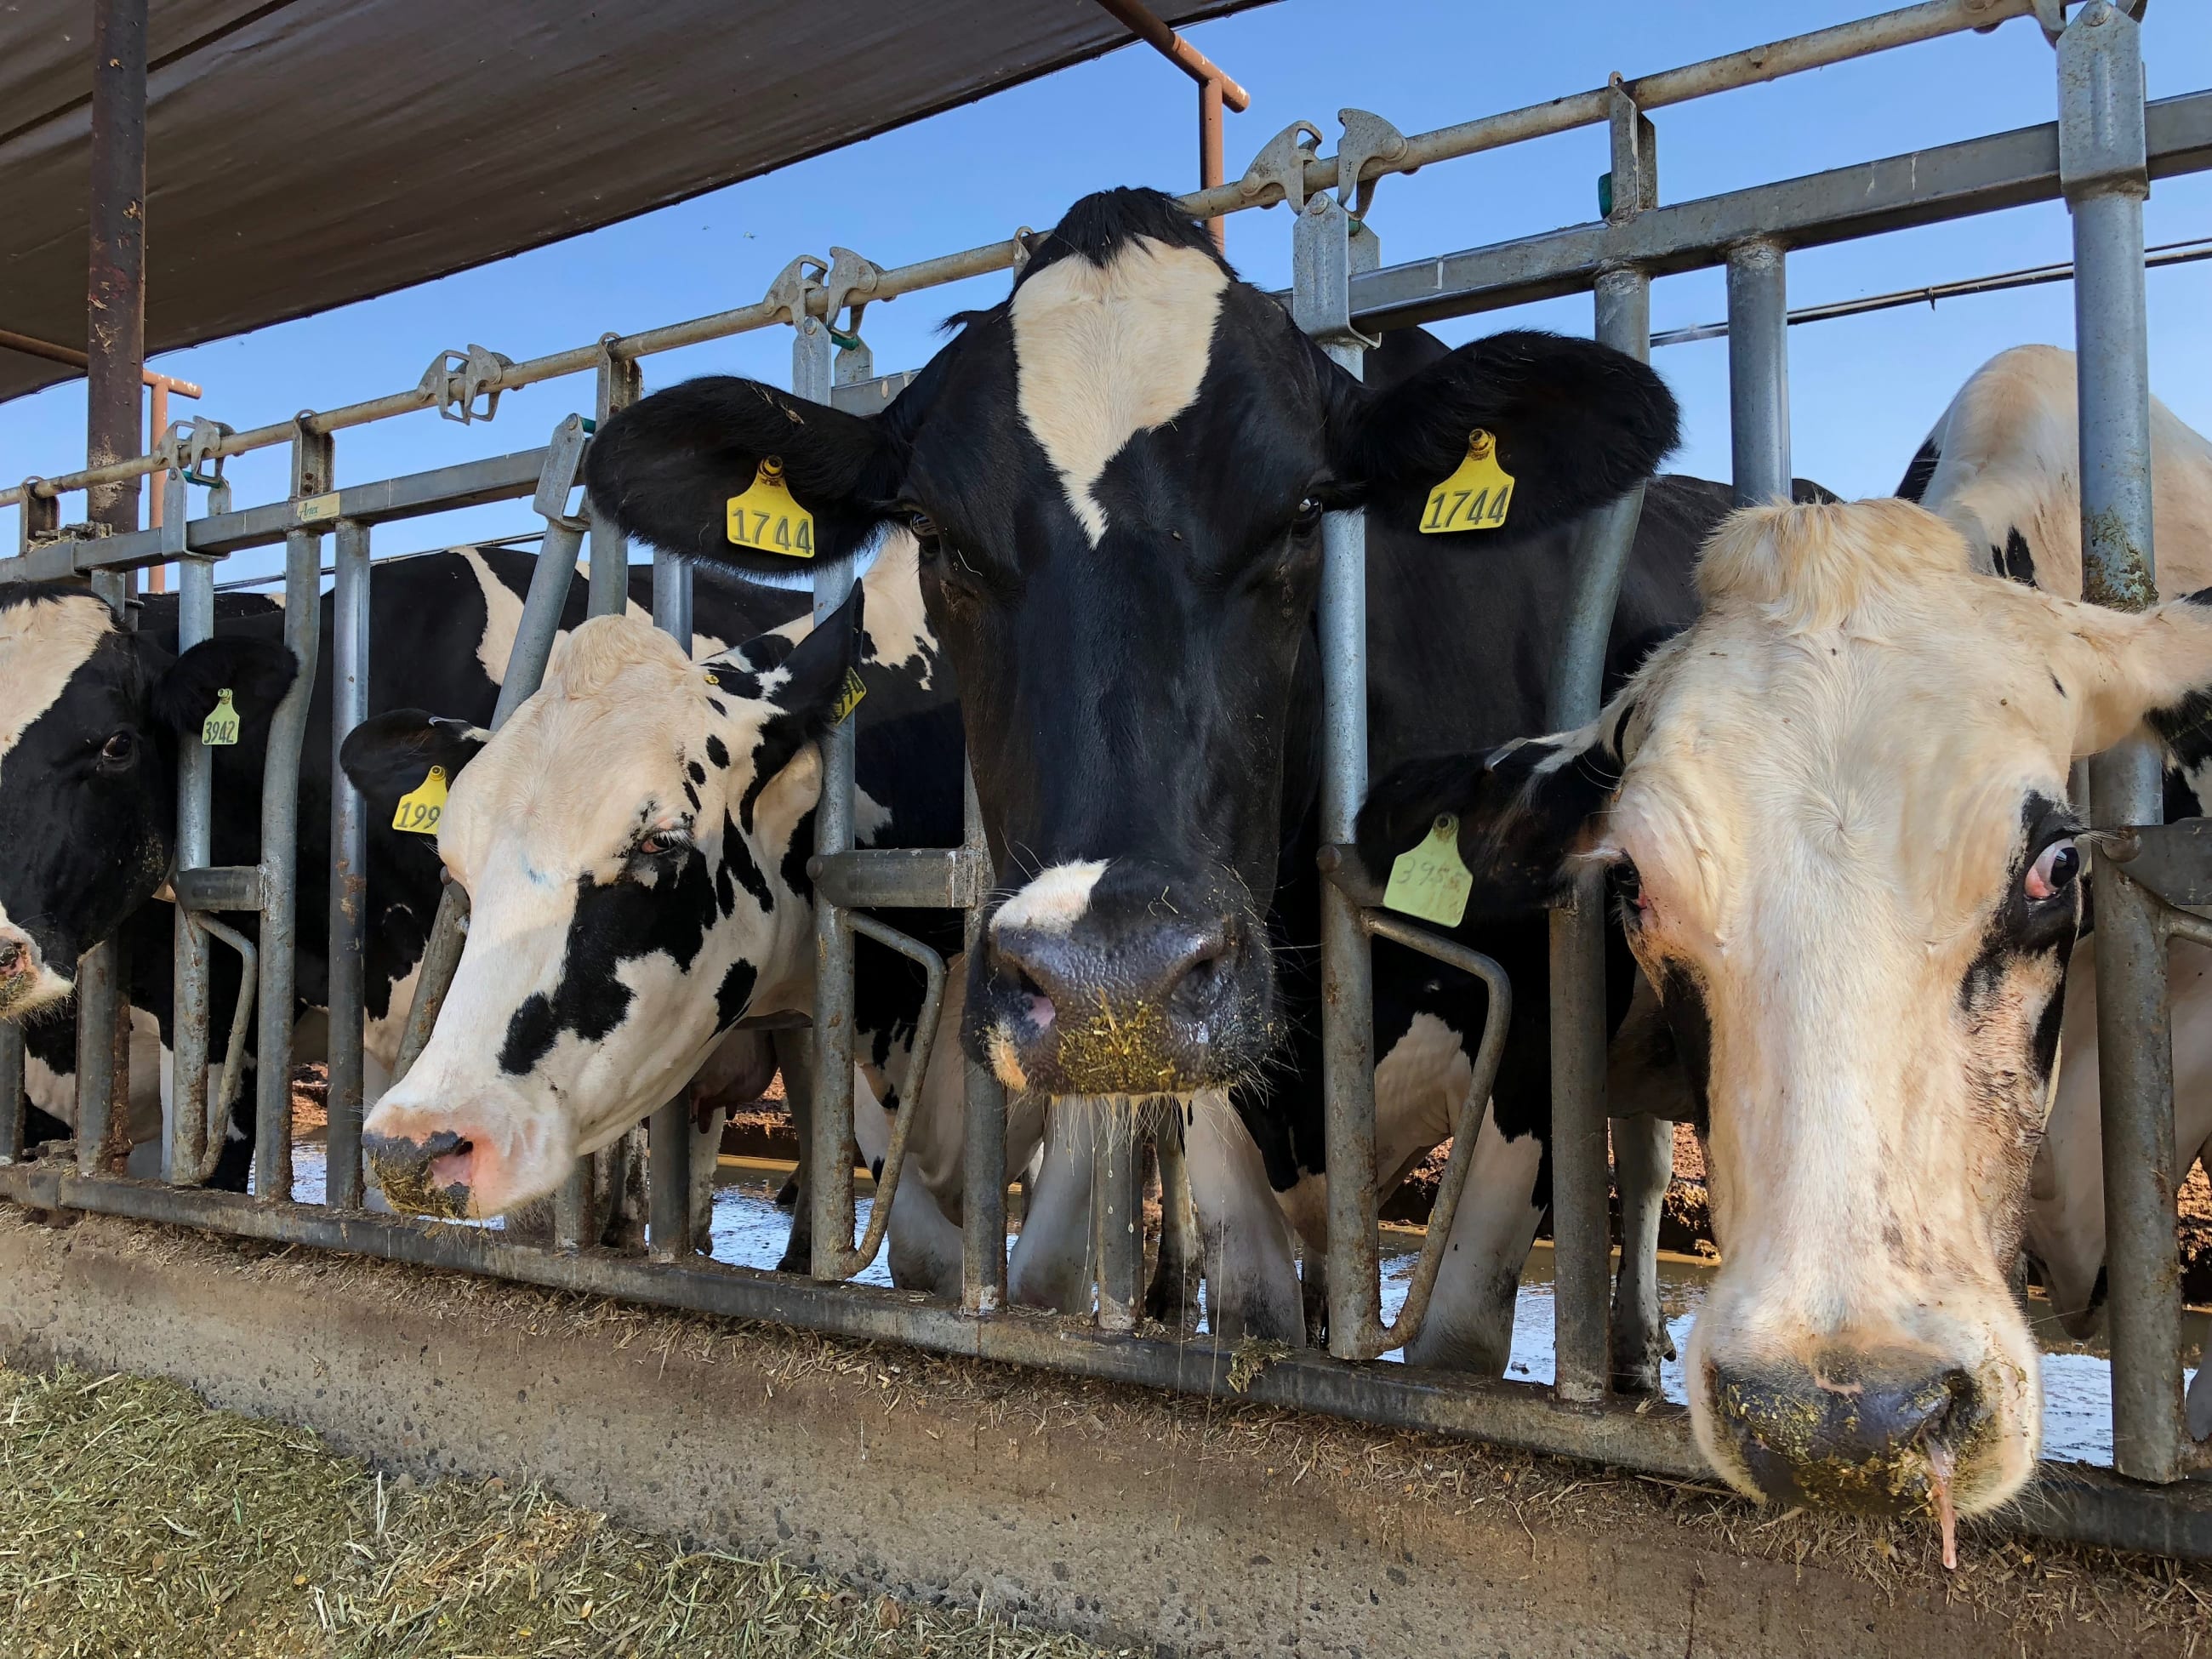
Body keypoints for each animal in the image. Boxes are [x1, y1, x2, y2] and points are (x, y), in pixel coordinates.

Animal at [580, 184, 1693, 1360]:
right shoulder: (1204, 1108)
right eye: (931, 529)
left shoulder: (1538, 1053)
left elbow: (1457, 1338)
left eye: (1305, 510)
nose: (1109, 983)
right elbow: (1250, 1307)